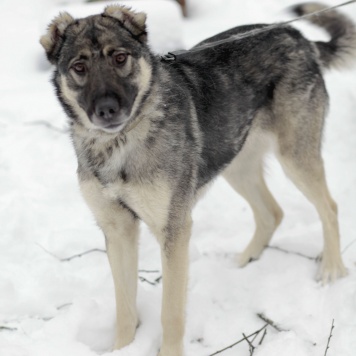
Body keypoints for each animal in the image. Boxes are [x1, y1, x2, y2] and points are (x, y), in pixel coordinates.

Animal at [40, 3, 354, 356]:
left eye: (120, 58)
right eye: (79, 67)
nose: (107, 109)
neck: (119, 145)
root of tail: (298, 36)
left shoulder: (174, 231)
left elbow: (171, 312)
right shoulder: (118, 231)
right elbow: (125, 308)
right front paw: (122, 348)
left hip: (295, 158)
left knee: (329, 207)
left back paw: (331, 269)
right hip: (236, 164)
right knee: (272, 213)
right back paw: (245, 261)